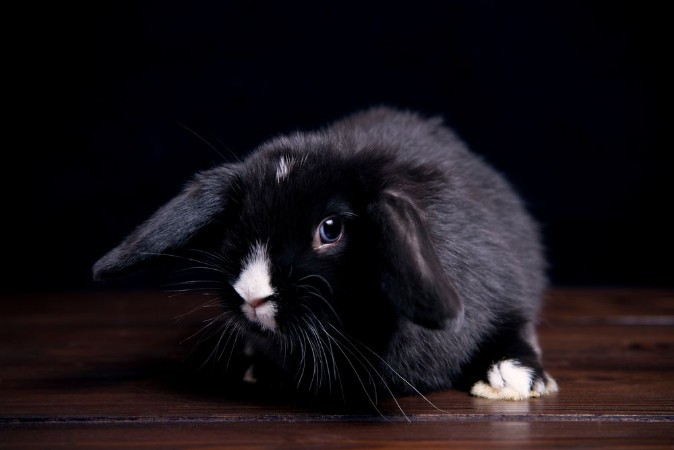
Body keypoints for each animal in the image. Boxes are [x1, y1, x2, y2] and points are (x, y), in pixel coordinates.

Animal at [92, 106, 558, 408]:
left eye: (330, 229)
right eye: (237, 219)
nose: (252, 295)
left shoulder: (507, 292)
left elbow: (515, 331)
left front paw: (514, 378)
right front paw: (262, 368)